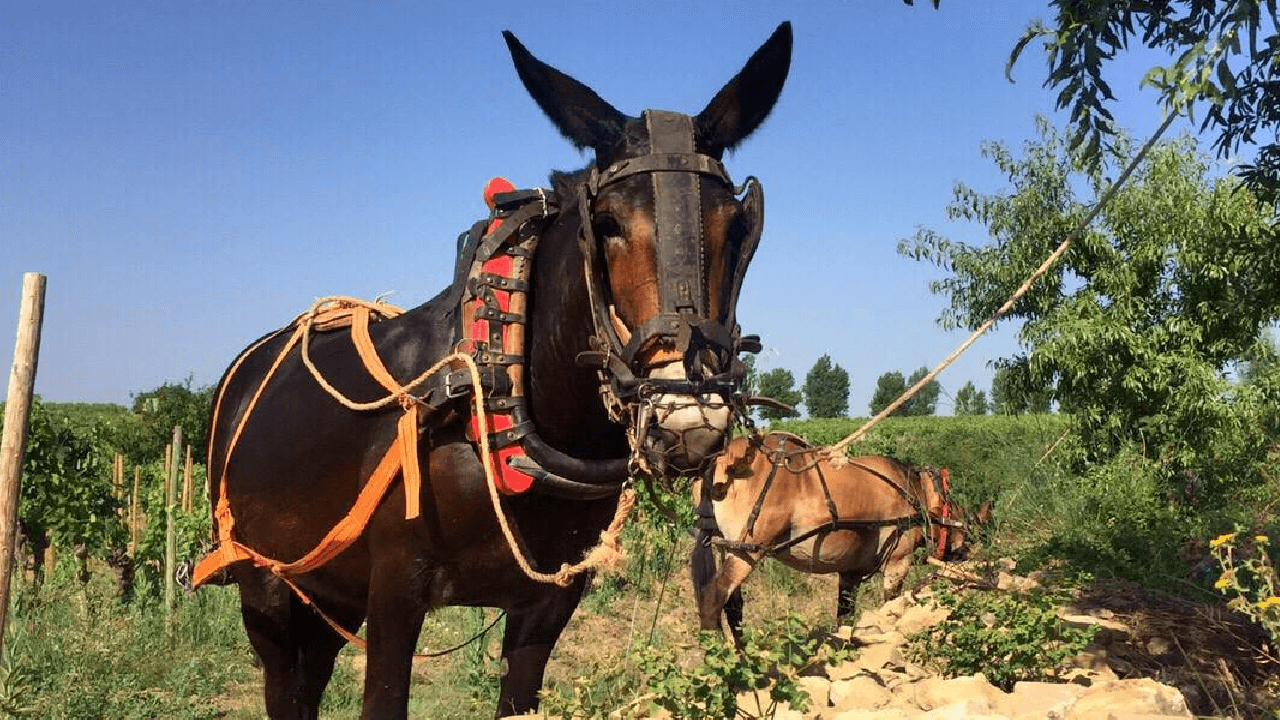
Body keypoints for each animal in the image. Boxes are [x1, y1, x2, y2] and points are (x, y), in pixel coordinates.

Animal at [198, 22, 788, 717]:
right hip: (266, 591)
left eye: (737, 226)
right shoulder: (394, 594)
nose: (687, 420)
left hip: (327, 593)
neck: (498, 402)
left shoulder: (548, 605)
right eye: (607, 223)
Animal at [691, 427, 988, 640]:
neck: (916, 493)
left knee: (733, 608)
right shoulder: (898, 561)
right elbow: (890, 605)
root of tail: (724, 460)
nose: (965, 554)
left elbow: (844, 618)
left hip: (728, 546)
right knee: (714, 598)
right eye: (962, 523)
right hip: (748, 550)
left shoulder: (850, 573)